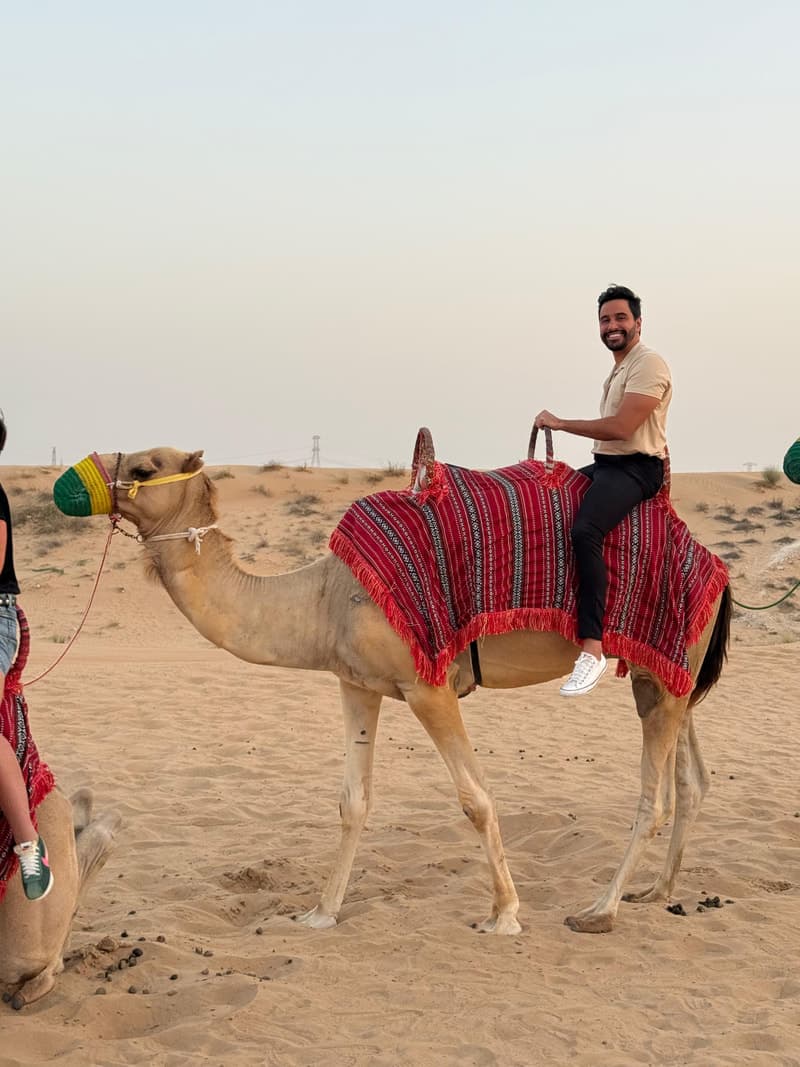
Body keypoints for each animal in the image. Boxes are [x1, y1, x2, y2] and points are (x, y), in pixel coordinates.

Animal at [53, 445, 730, 936]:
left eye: (145, 468)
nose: (70, 481)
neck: (324, 597)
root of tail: (715, 567)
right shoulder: (357, 683)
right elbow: (353, 801)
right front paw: (320, 913)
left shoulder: (428, 684)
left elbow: (476, 799)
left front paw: (505, 915)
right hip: (664, 672)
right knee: (691, 781)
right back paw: (657, 891)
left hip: (666, 669)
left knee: (654, 798)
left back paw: (599, 910)